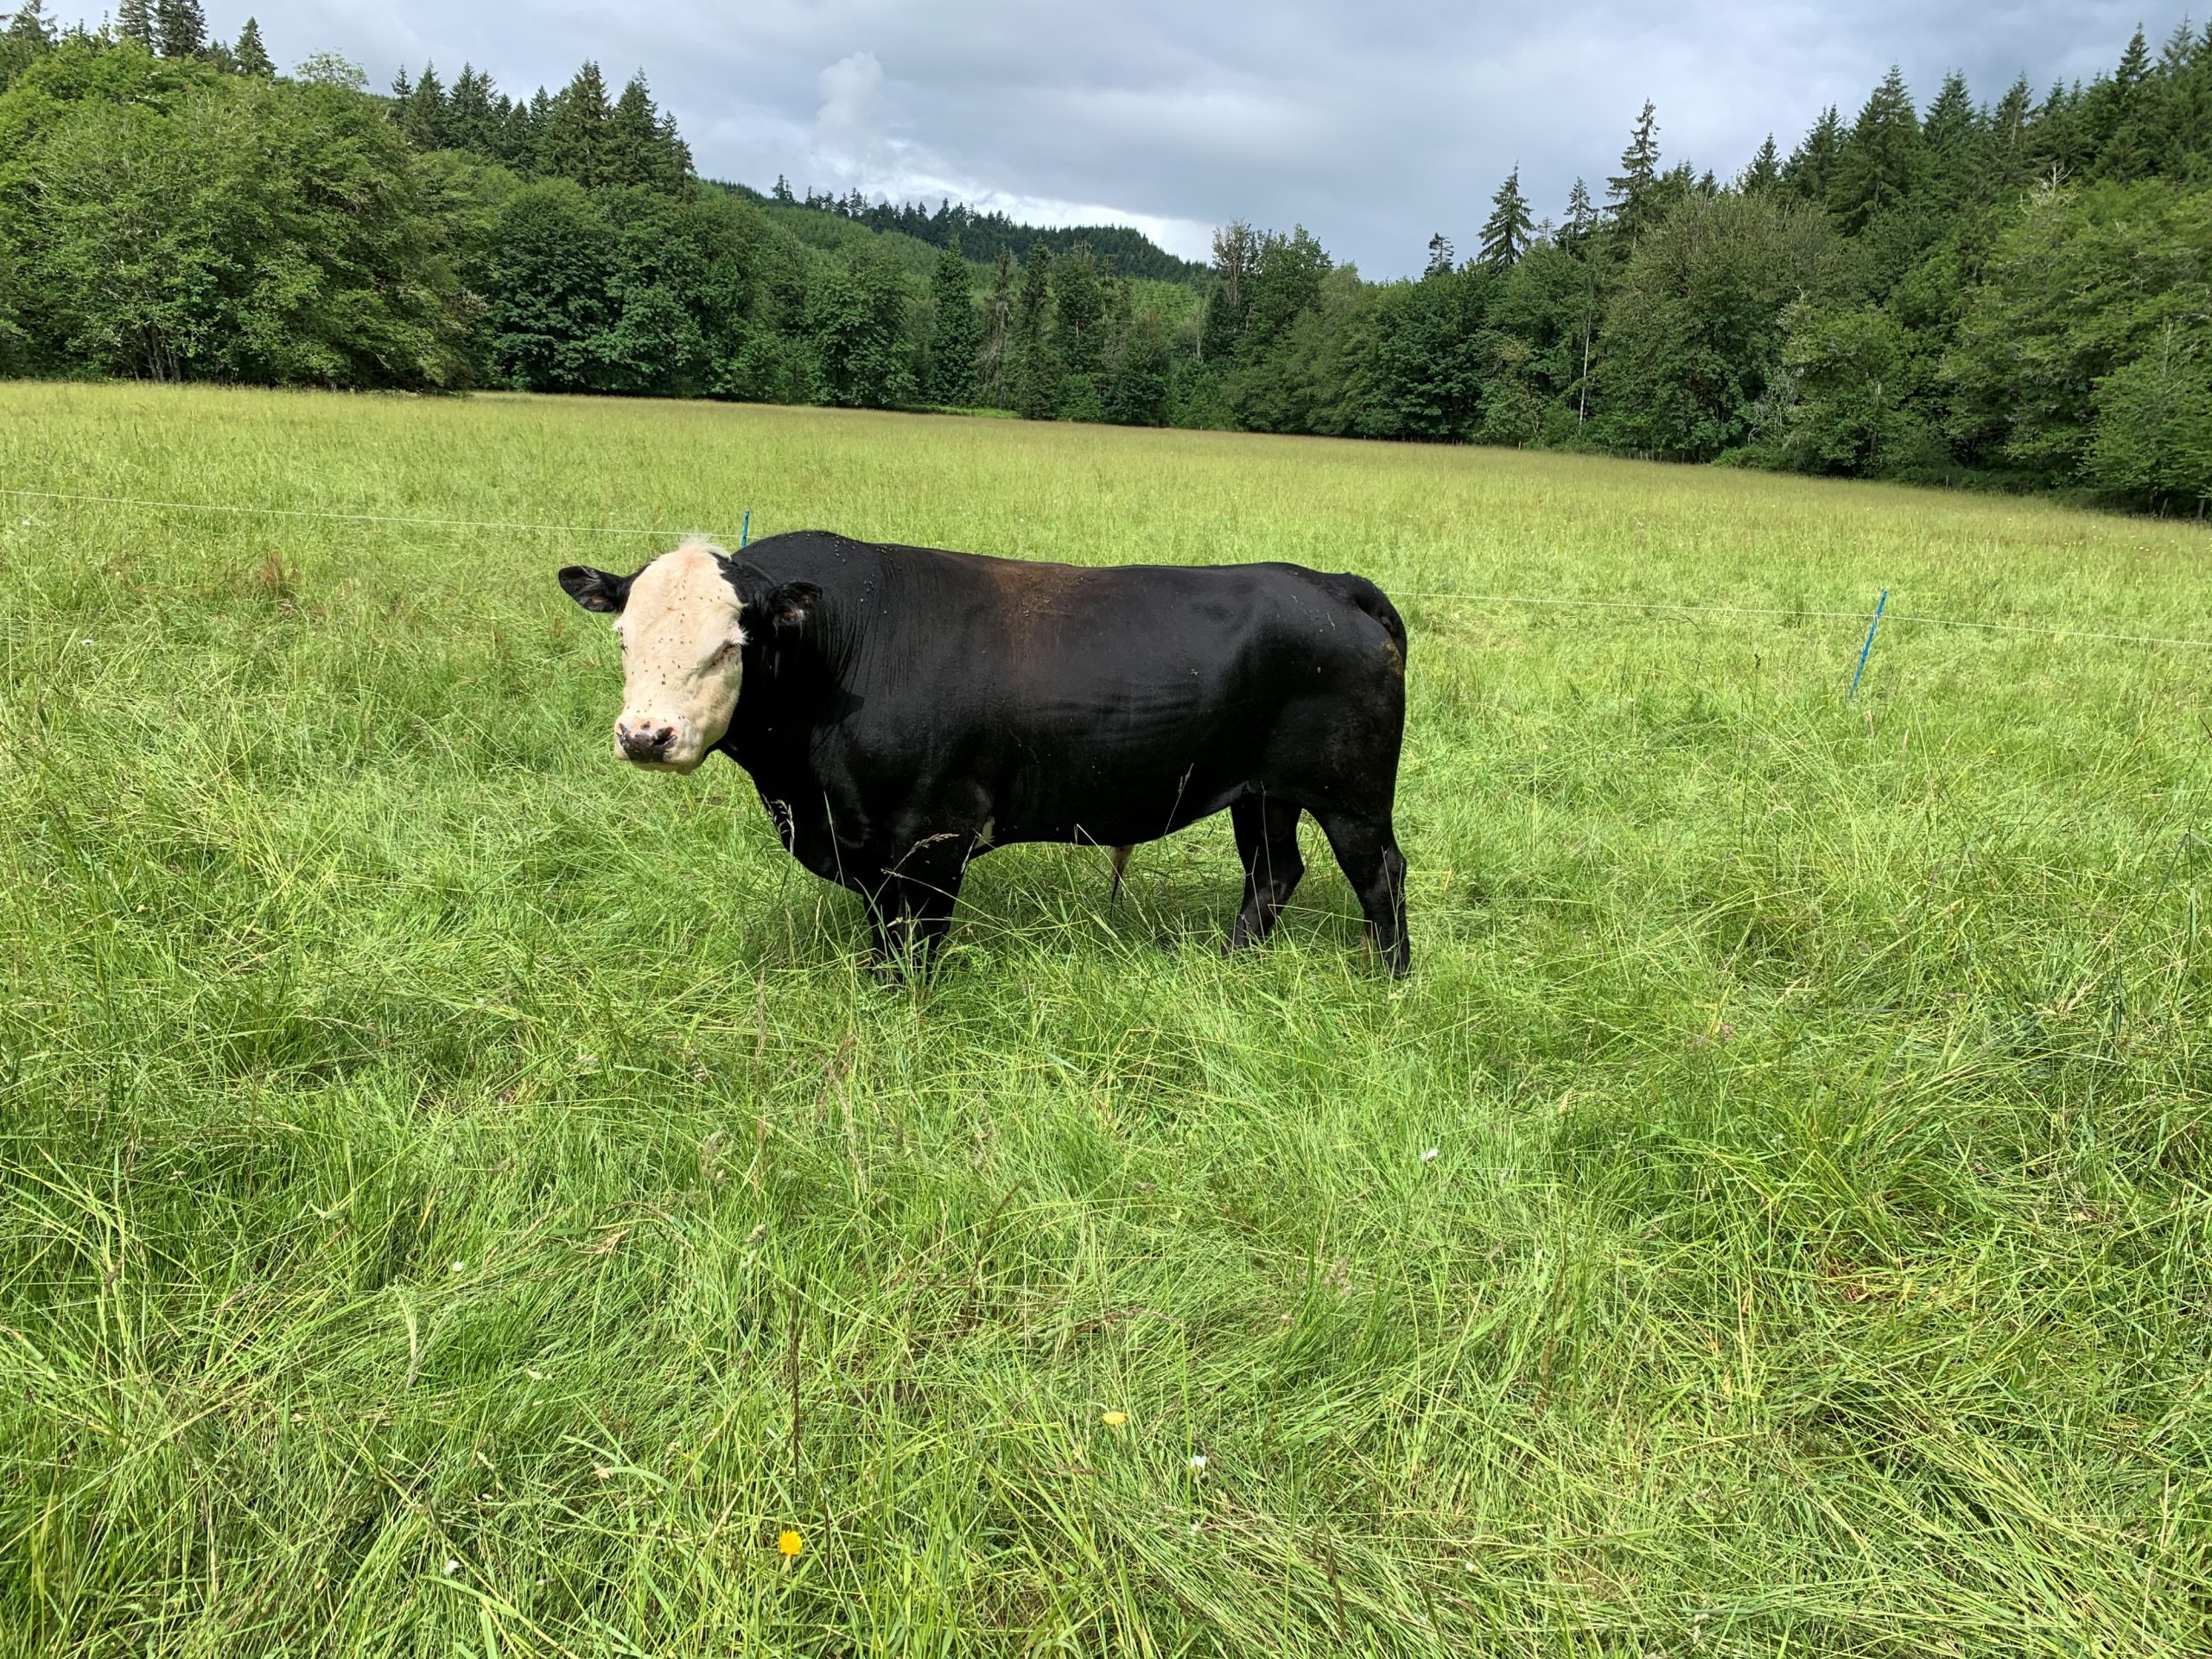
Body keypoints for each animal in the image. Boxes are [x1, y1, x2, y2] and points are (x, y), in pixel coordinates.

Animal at [555, 532, 1411, 975]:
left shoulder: (934, 835)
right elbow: (884, 930)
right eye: (623, 636)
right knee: (1272, 871)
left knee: (1379, 875)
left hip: (1351, 793)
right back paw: (1231, 965)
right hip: (1265, 793)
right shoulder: (870, 846)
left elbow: (917, 942)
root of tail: (1326, 582)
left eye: (732, 643)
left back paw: (1391, 978)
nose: (645, 735)